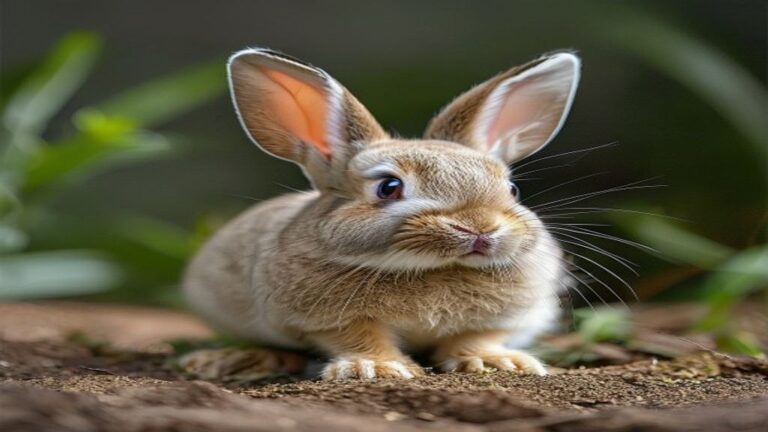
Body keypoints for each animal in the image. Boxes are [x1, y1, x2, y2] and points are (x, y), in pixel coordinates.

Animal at [181, 47, 580, 380]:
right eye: (389, 187)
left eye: (512, 190)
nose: (479, 228)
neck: (434, 269)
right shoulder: (329, 321)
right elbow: (360, 338)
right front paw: (376, 368)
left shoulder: (504, 318)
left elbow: (477, 338)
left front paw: (499, 362)